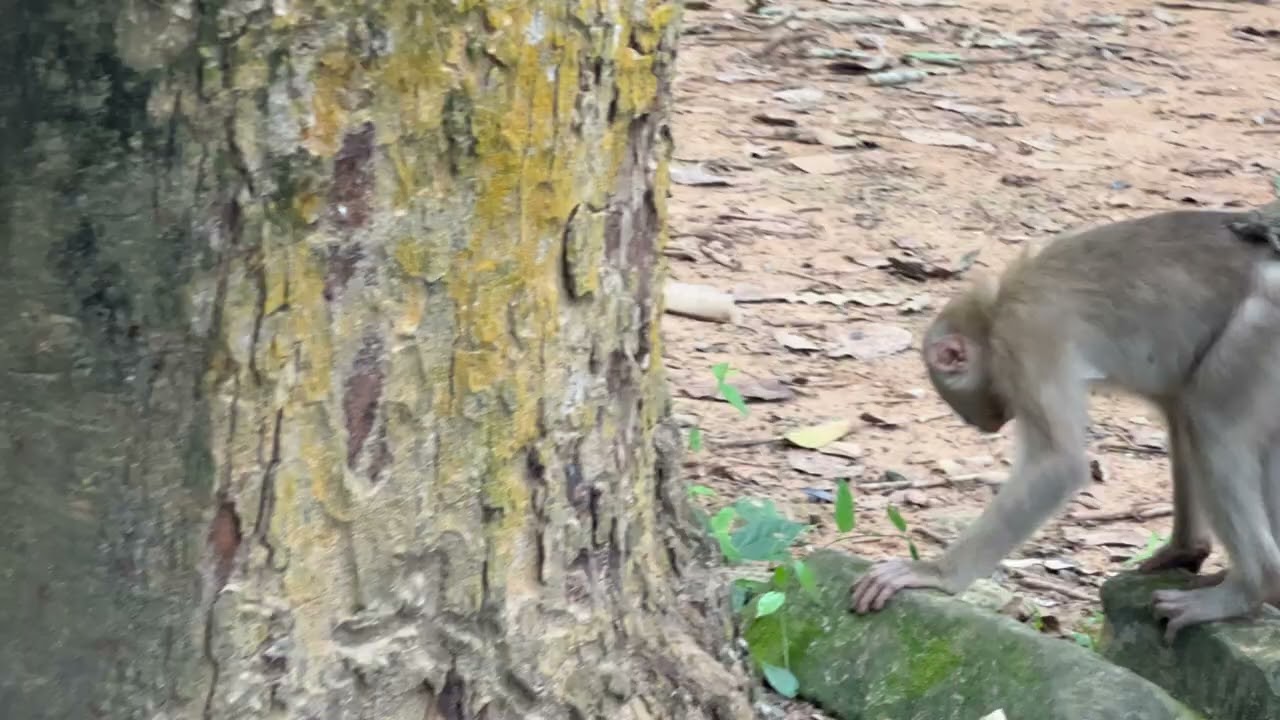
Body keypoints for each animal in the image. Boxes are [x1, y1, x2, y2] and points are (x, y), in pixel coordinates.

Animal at [849, 208, 1280, 642]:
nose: (987, 424)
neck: (993, 311)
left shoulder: (1023, 339)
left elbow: (1059, 465)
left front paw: (935, 573)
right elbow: (1175, 408)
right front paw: (1184, 550)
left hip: (1262, 327)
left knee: (1210, 421)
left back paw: (1252, 585)